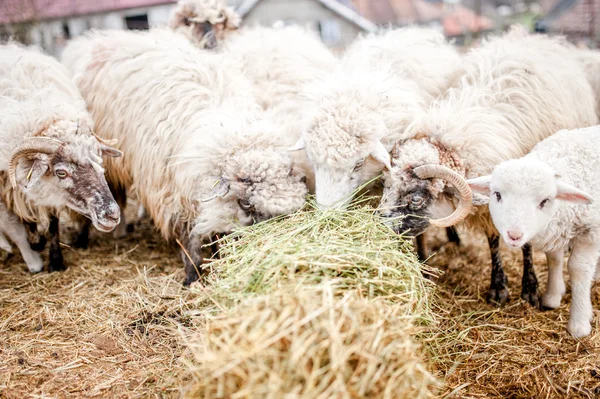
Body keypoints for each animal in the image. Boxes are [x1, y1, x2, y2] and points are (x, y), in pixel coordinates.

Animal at [0, 44, 122, 276]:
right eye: (61, 172)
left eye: (100, 162)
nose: (112, 215)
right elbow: (19, 225)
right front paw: (35, 252)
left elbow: (53, 224)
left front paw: (56, 261)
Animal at [62, 29, 310, 286]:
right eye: (245, 203)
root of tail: (96, 38)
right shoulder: (173, 194)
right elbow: (188, 236)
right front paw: (192, 275)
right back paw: (82, 238)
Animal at [378, 28, 596, 310]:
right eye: (386, 186)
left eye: (416, 199)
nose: (377, 228)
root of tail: (526, 36)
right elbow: (493, 240)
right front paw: (499, 286)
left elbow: (526, 242)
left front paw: (529, 288)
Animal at [468, 126, 600, 340]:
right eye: (497, 194)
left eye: (544, 201)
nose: (514, 235)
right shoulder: (557, 229)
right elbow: (554, 259)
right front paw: (552, 296)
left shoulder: (590, 232)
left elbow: (578, 268)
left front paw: (579, 322)